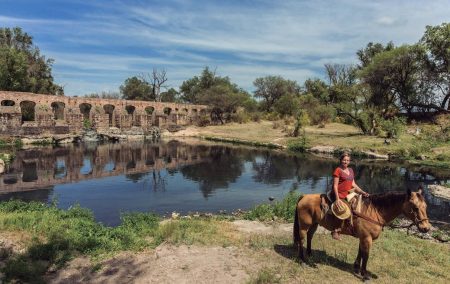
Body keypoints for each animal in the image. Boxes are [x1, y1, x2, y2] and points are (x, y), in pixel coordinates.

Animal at [294, 186, 430, 280]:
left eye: (425, 206)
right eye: (415, 207)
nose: (426, 228)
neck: (374, 211)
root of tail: (303, 196)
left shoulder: (362, 237)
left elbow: (360, 252)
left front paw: (356, 268)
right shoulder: (366, 238)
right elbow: (366, 256)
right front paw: (364, 274)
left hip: (314, 224)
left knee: (310, 236)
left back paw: (309, 253)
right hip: (304, 226)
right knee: (301, 239)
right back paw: (302, 259)